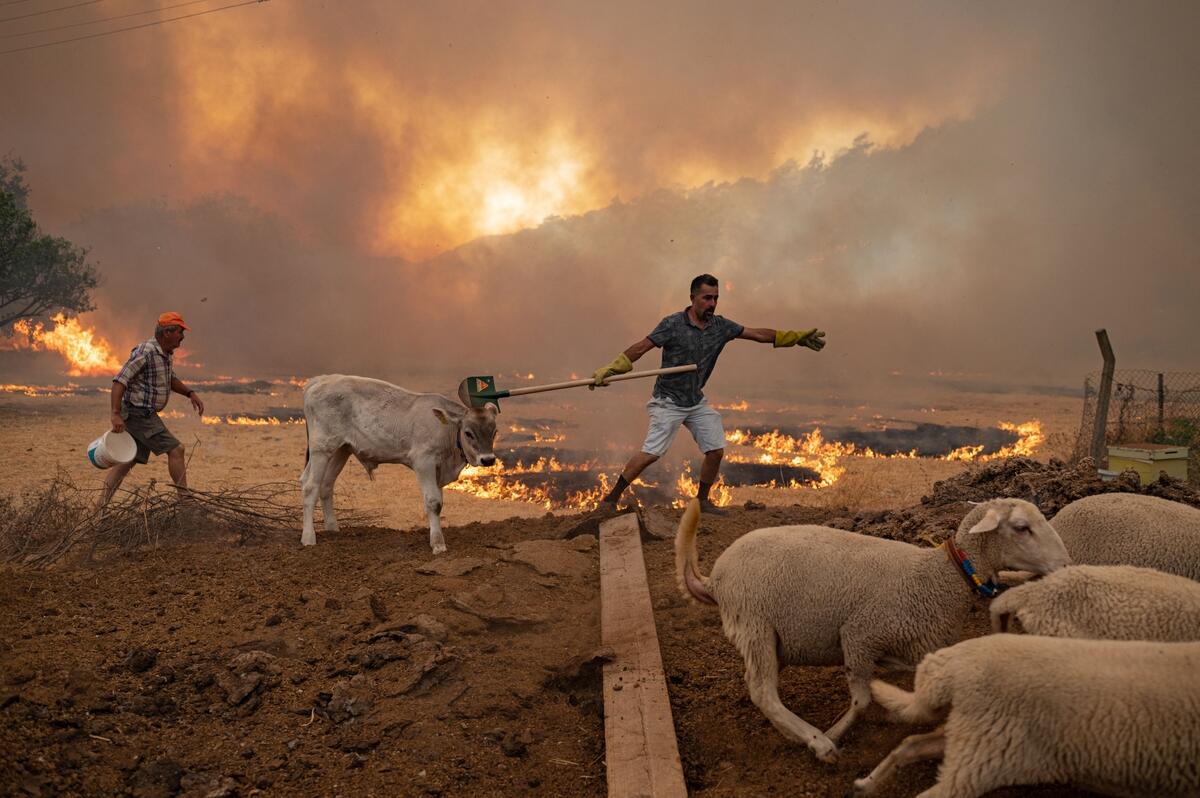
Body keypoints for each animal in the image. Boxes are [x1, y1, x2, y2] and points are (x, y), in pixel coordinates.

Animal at [304, 374, 501, 554]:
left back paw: (332, 528)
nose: (488, 459)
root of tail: (321, 380)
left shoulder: (438, 471)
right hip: (321, 448)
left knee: (325, 484)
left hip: (341, 449)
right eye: (468, 432)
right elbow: (433, 502)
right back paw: (308, 537)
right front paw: (438, 544)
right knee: (310, 486)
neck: (445, 430)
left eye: (494, 432)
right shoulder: (424, 463)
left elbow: (439, 502)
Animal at [672, 494, 1075, 763]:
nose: (1065, 565)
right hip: (754, 622)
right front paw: (834, 733)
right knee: (763, 692)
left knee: (757, 684)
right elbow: (861, 702)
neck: (941, 576)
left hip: (769, 638)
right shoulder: (859, 636)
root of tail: (715, 578)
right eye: (1022, 528)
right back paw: (816, 741)